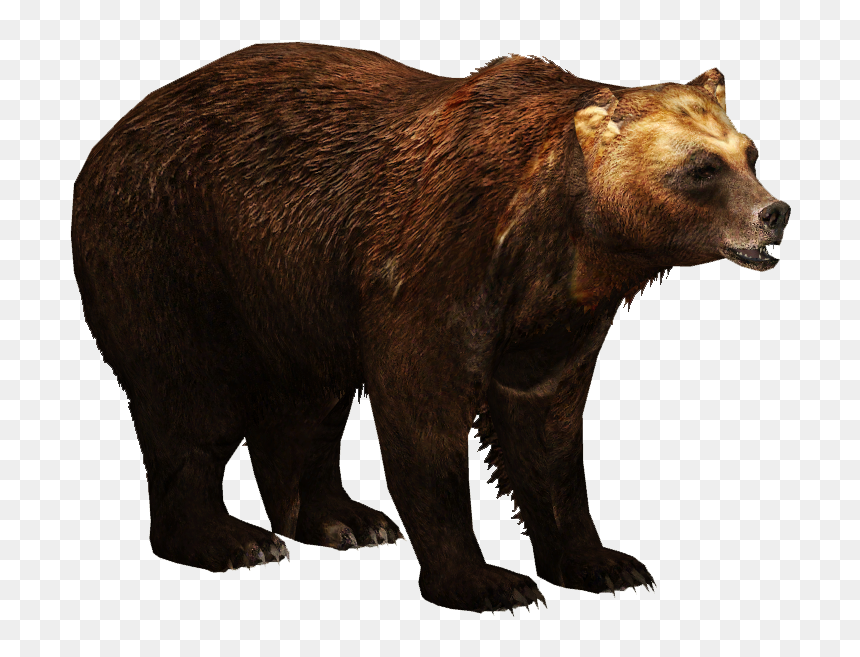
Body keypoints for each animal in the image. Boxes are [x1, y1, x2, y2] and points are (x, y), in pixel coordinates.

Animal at [71, 42, 790, 613]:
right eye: (701, 168)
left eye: (750, 153)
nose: (775, 212)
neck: (566, 233)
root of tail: (107, 140)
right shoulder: (438, 262)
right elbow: (426, 414)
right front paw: (489, 582)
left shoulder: (560, 311)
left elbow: (545, 427)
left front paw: (604, 562)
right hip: (173, 251)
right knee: (193, 400)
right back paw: (232, 539)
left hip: (296, 297)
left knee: (306, 405)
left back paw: (343, 520)